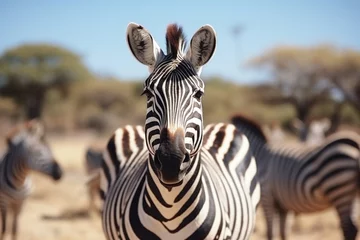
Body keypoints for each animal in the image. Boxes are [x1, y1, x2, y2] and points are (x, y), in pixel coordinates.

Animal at [231, 114, 360, 240]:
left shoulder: (267, 197)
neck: (260, 154)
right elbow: (283, 232)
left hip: (339, 189)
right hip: (351, 195)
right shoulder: (283, 205)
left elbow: (271, 233)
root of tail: (356, 143)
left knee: (348, 228)